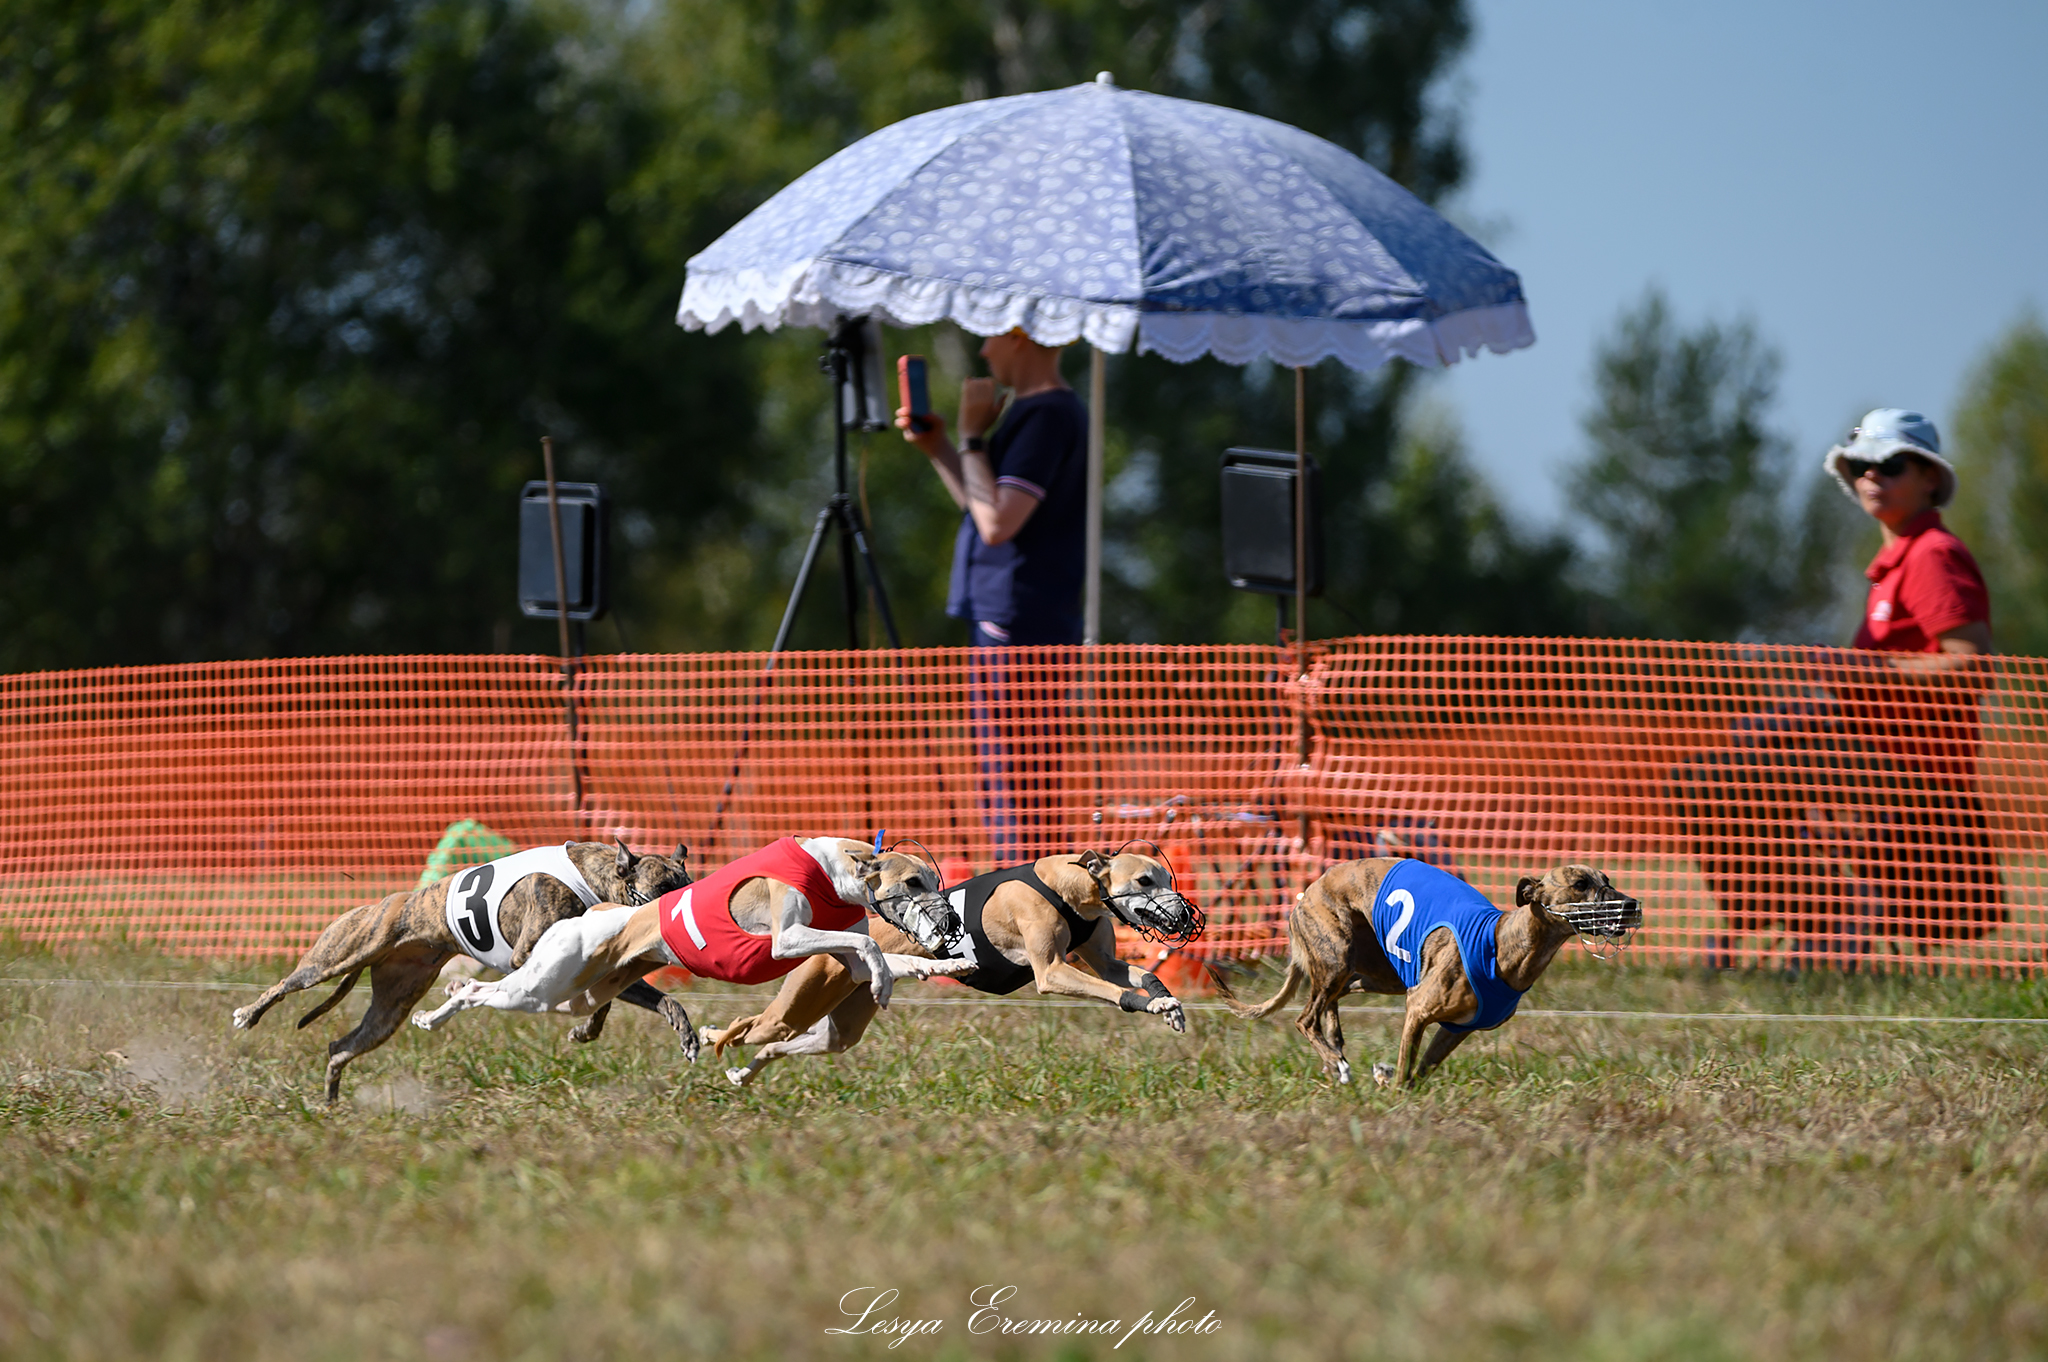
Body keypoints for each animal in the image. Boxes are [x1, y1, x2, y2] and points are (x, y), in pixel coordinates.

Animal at [231, 835, 692, 1097]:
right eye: (661, 888)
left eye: (687, 884)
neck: (597, 879)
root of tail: (394, 901)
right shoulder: (530, 956)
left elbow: (648, 1000)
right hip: (337, 955)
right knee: (285, 984)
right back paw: (247, 1014)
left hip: (391, 1008)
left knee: (340, 1046)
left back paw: (330, 1101)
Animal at [1220, 860, 1638, 1081]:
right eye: (1580, 883)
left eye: (1607, 880)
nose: (1631, 904)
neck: (1500, 943)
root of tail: (1306, 892)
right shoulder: (1418, 1008)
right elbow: (1406, 1069)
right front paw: (1390, 1088)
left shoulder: (1456, 1030)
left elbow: (1418, 1072)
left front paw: (1388, 1079)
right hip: (1338, 953)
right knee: (1305, 1018)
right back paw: (1335, 1061)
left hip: (1370, 972)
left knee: (1330, 1004)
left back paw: (1334, 1047)